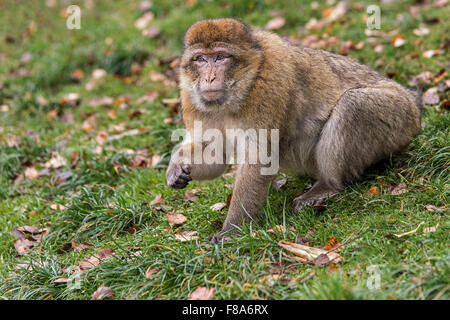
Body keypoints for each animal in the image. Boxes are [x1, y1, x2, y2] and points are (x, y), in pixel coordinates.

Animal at [164, 18, 422, 242]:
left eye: (220, 57)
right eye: (200, 59)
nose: (209, 78)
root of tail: (414, 105)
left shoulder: (268, 87)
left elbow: (260, 160)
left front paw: (231, 231)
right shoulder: (191, 99)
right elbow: (216, 157)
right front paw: (178, 165)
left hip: (400, 118)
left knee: (353, 105)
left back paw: (329, 186)